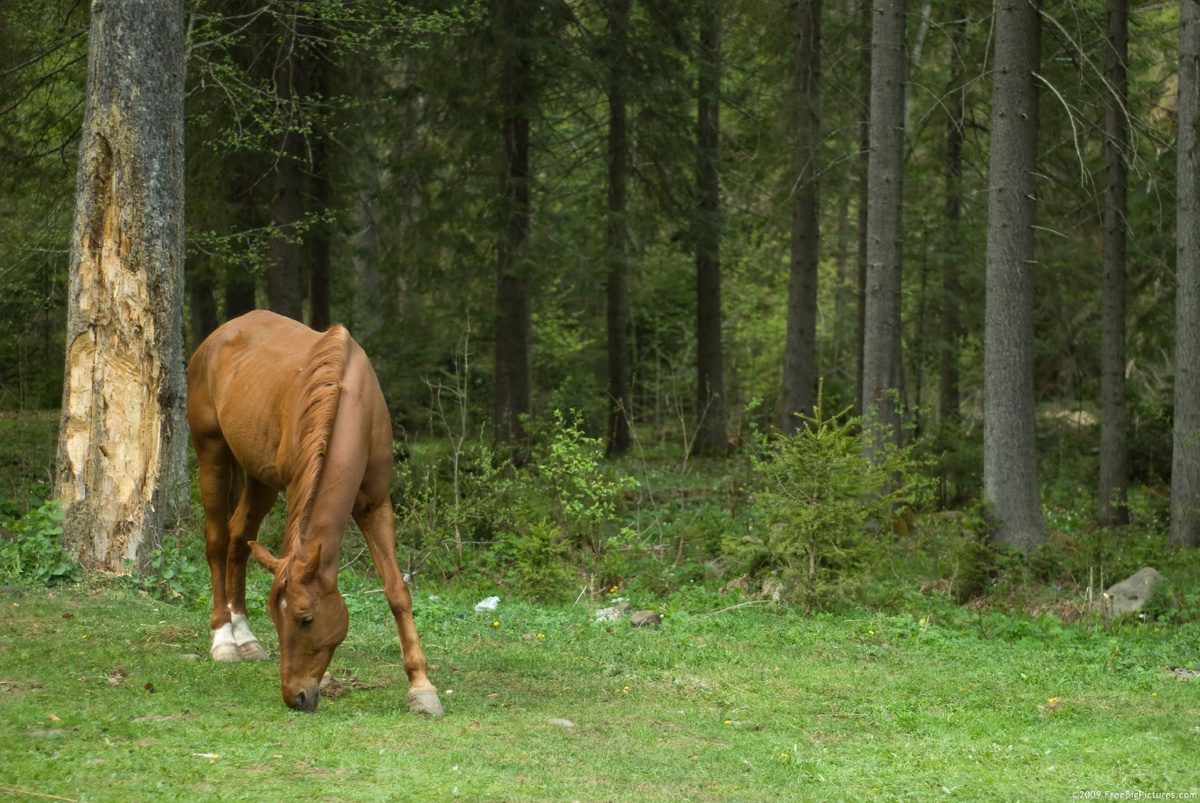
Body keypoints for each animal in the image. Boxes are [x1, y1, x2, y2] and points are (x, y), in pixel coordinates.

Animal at [189, 309, 444, 715]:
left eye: (305, 620)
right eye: (277, 619)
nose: (295, 697)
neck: (349, 402)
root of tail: (218, 336)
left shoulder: (376, 506)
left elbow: (397, 591)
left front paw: (421, 687)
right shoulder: (298, 492)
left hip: (260, 478)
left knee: (239, 538)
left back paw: (244, 635)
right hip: (211, 452)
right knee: (216, 540)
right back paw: (224, 639)